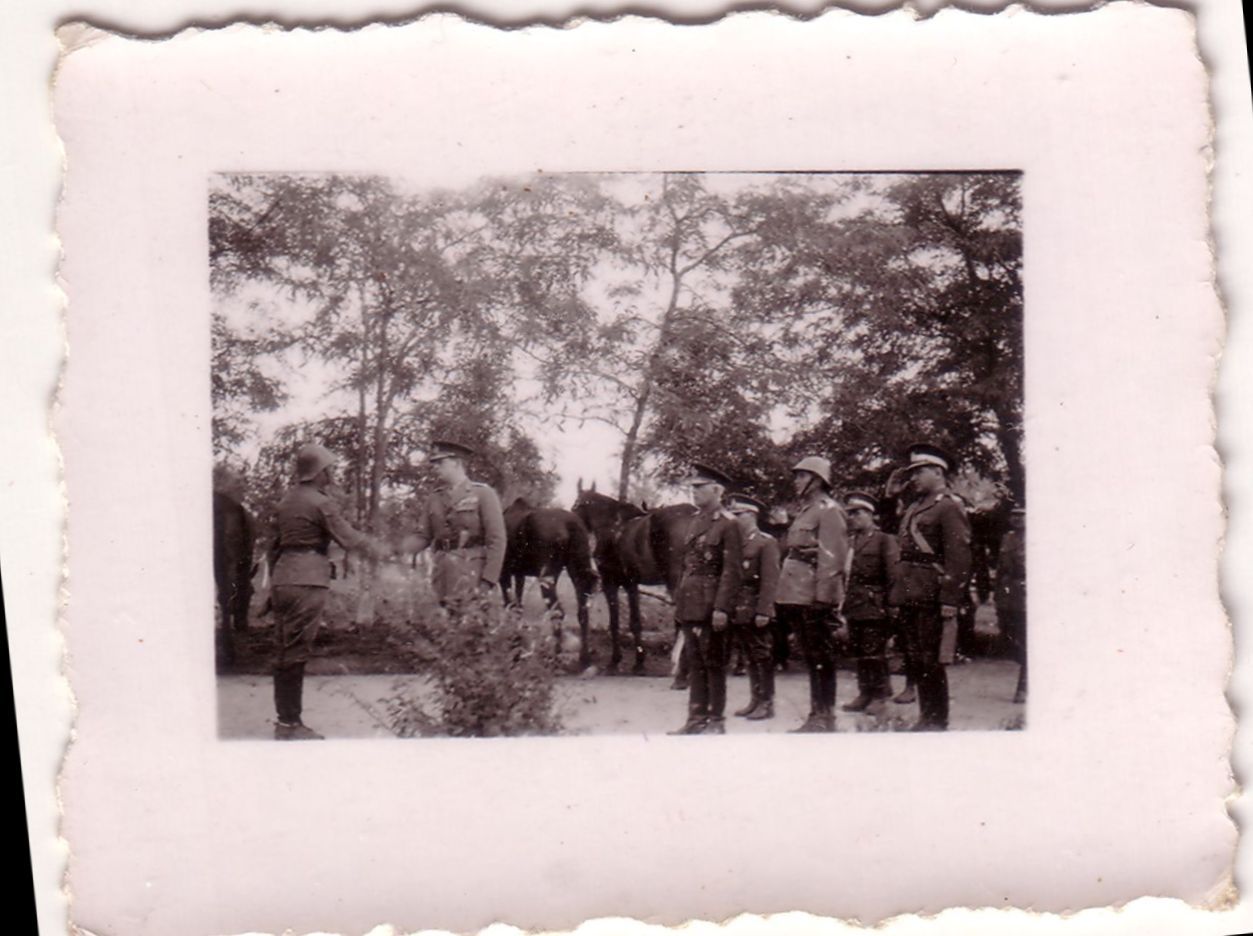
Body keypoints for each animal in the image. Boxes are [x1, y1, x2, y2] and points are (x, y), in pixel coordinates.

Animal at [499, 497, 600, 667]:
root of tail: (572, 525)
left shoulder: (504, 572)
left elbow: (510, 605)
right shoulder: (519, 573)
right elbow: (519, 605)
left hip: (547, 575)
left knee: (558, 610)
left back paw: (556, 654)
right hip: (575, 572)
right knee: (582, 611)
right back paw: (584, 657)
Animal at [571, 479, 696, 675]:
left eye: (577, 504)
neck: (612, 527)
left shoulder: (612, 582)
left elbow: (616, 622)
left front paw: (616, 661)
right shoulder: (630, 583)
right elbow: (634, 622)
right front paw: (638, 662)